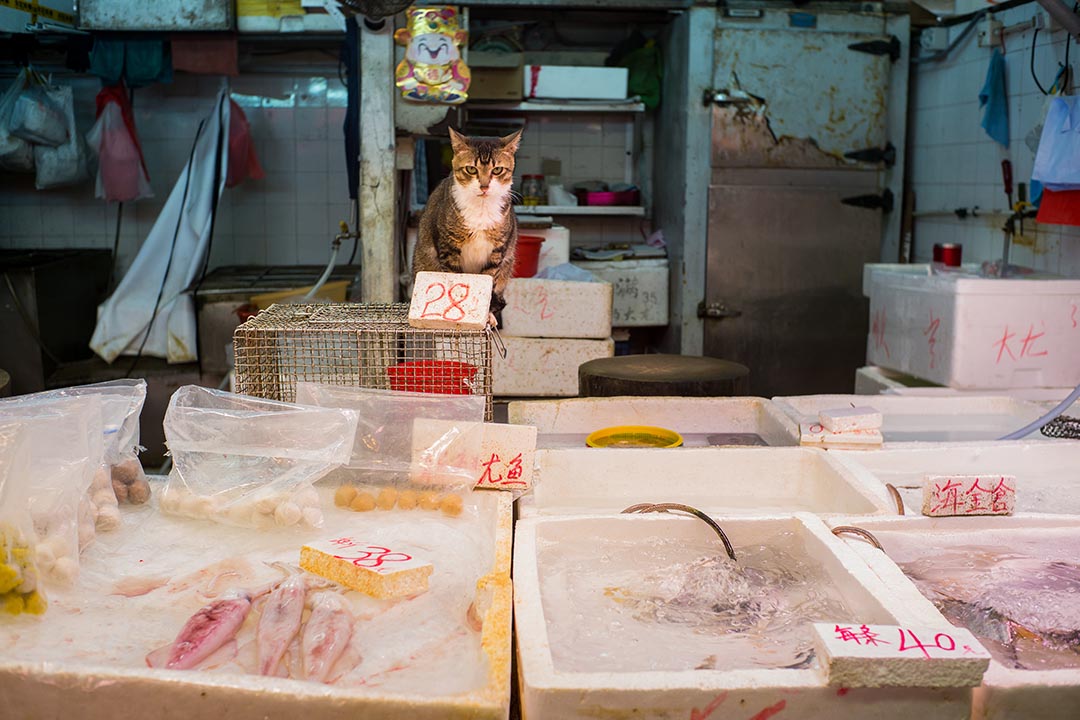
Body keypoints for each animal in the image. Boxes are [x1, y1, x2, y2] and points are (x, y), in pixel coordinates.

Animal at [412, 126, 522, 323]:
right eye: (471, 169)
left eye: (497, 170)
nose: (484, 186)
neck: (481, 209)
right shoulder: (448, 247)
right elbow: (454, 278)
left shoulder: (497, 251)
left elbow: (489, 279)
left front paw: (486, 315)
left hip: (508, 265)